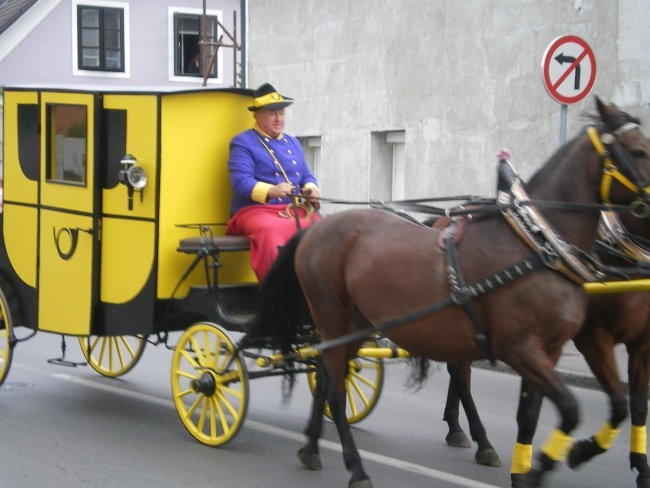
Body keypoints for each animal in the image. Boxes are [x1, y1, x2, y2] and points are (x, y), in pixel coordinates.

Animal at [248, 96, 648, 488]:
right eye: (639, 151)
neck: (537, 245)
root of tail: (314, 230)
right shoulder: (525, 349)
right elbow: (570, 409)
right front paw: (549, 464)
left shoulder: (549, 351)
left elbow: (562, 411)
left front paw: (538, 466)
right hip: (333, 317)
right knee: (335, 388)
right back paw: (357, 470)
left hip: (353, 324)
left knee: (328, 375)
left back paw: (312, 448)